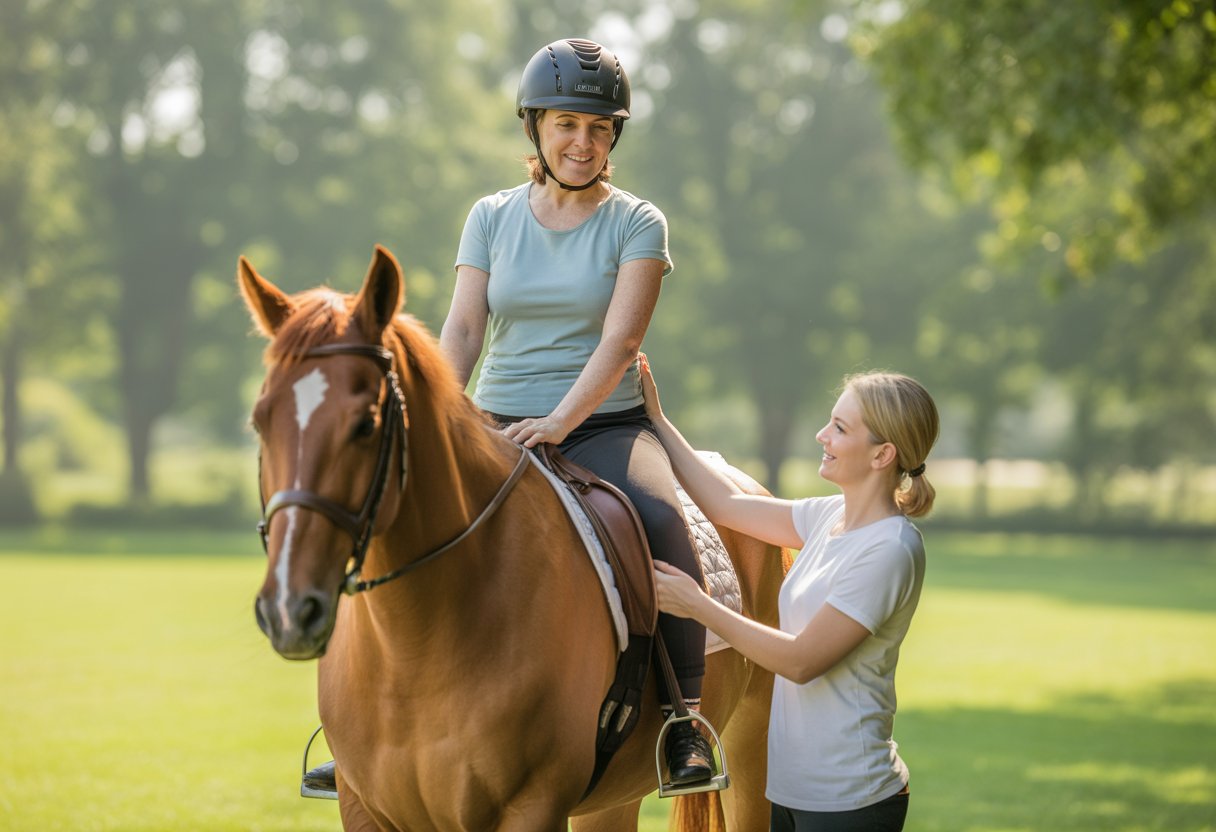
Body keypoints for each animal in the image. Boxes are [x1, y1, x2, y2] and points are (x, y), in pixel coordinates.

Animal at [240, 245, 789, 831]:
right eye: (260, 420)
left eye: (364, 425)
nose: (289, 611)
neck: (418, 644)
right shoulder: (364, 807)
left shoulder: (531, 805)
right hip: (613, 800)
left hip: (753, 743)